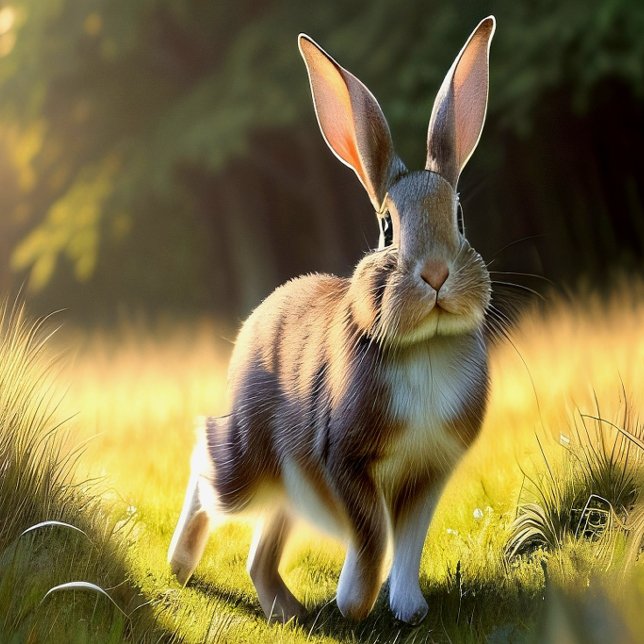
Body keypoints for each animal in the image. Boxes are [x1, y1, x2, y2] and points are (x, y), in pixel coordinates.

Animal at [168, 16, 496, 626]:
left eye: (460, 217)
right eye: (387, 228)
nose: (436, 273)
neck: (425, 346)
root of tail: (256, 319)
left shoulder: (429, 473)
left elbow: (407, 543)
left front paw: (409, 609)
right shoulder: (343, 459)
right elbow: (370, 537)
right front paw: (354, 605)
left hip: (288, 491)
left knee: (259, 550)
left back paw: (287, 611)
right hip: (245, 463)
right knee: (206, 466)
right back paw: (179, 565)